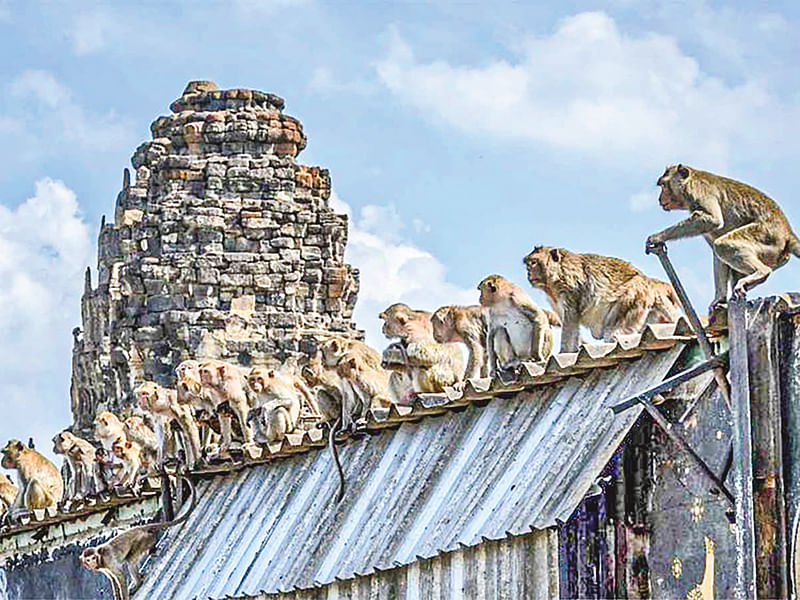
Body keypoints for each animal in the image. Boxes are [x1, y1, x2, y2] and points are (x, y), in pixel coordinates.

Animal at [524, 245, 680, 352]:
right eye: (529, 264)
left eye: (534, 263)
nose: (528, 273)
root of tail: (648, 282)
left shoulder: (570, 288)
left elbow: (571, 321)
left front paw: (565, 352)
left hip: (633, 298)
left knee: (612, 333)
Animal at [648, 166, 800, 312]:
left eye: (663, 185)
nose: (660, 198)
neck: (690, 180)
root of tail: (788, 232)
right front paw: (720, 298)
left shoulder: (700, 191)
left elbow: (712, 220)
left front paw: (657, 237)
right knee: (720, 253)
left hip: (766, 235)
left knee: (722, 245)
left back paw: (761, 272)